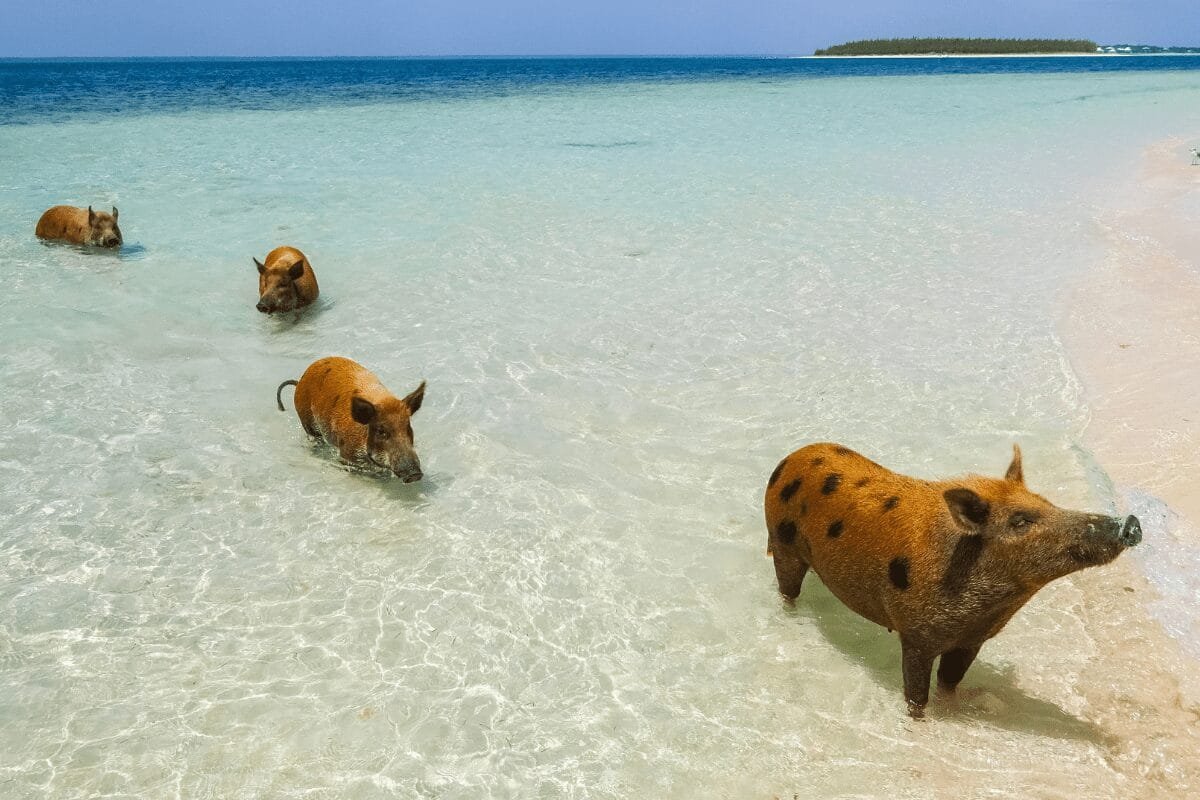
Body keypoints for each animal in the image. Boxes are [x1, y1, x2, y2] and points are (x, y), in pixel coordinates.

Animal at [276, 356, 425, 482]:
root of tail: (300, 381)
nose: (415, 474)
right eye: (381, 431)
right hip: (307, 422)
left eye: (408, 427)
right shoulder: (346, 455)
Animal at [763, 442, 1142, 718]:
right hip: (782, 543)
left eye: (1048, 503)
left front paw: (963, 706)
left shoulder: (971, 640)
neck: (990, 605)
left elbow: (949, 683)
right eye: (1020, 521)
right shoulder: (916, 635)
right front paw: (918, 721)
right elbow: (916, 694)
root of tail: (792, 457)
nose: (1130, 523)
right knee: (787, 588)